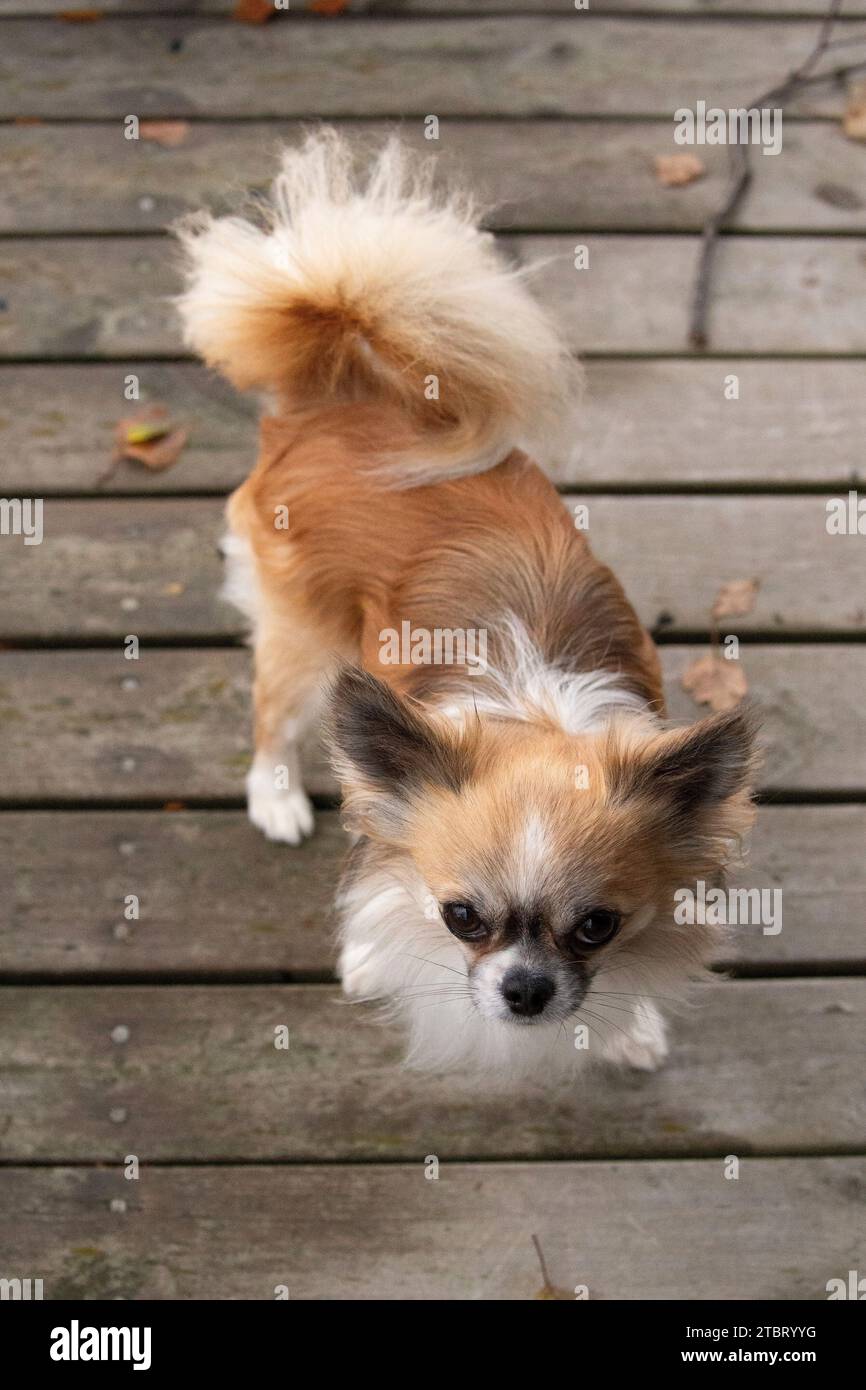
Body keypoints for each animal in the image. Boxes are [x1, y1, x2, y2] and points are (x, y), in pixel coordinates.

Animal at [176, 130, 756, 1078]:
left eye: (597, 927)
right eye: (462, 918)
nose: (525, 991)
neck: (536, 709)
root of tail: (339, 395)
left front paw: (629, 1026)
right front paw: (372, 956)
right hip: (306, 638)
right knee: (272, 713)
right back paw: (276, 799)